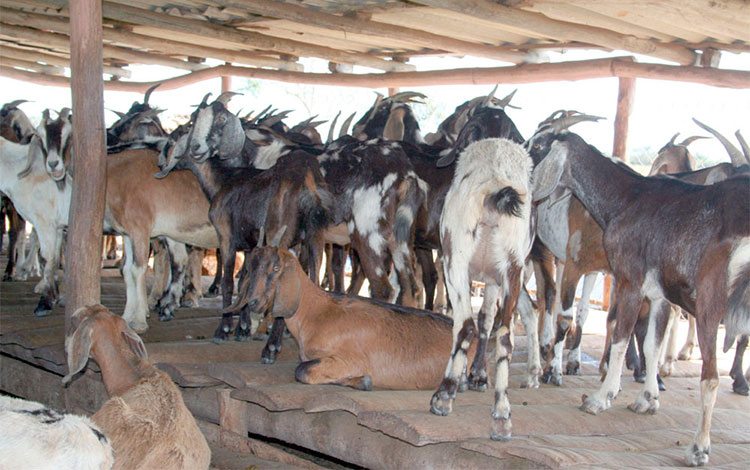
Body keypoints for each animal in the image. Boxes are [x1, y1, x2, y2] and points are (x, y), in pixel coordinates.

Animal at [222, 239, 476, 390]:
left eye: (276, 268)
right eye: (249, 268)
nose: (254, 302)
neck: (315, 313)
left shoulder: (348, 359)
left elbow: (301, 370)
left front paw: (361, 380)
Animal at [528, 111, 750, 466]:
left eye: (538, 144)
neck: (628, 197)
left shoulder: (630, 280)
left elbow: (621, 336)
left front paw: (600, 397)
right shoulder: (658, 295)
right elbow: (651, 345)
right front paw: (647, 399)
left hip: (709, 307)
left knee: (711, 377)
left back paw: (699, 447)